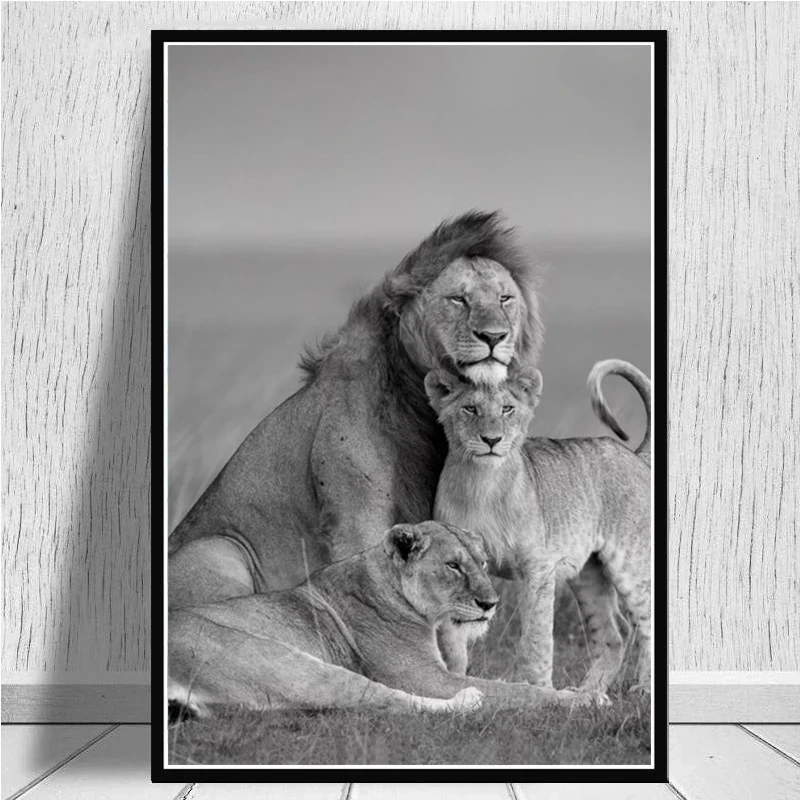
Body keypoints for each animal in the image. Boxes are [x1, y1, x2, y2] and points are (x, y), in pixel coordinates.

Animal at [168, 521, 594, 717]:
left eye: (483, 563)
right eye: (453, 565)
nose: (490, 604)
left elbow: (511, 683)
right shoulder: (424, 677)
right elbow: (517, 692)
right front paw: (582, 697)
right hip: (279, 660)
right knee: (385, 700)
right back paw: (469, 700)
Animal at [169, 212, 543, 608]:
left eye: (505, 299)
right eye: (458, 299)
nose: (494, 336)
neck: (421, 401)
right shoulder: (357, 519)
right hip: (220, 549)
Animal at [425, 359, 651, 693]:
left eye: (507, 409)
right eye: (470, 409)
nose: (491, 440)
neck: (482, 484)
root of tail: (635, 456)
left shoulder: (538, 568)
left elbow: (536, 638)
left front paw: (539, 690)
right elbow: (453, 640)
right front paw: (454, 682)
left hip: (630, 562)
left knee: (646, 621)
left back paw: (642, 688)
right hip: (587, 574)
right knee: (615, 632)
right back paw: (588, 692)